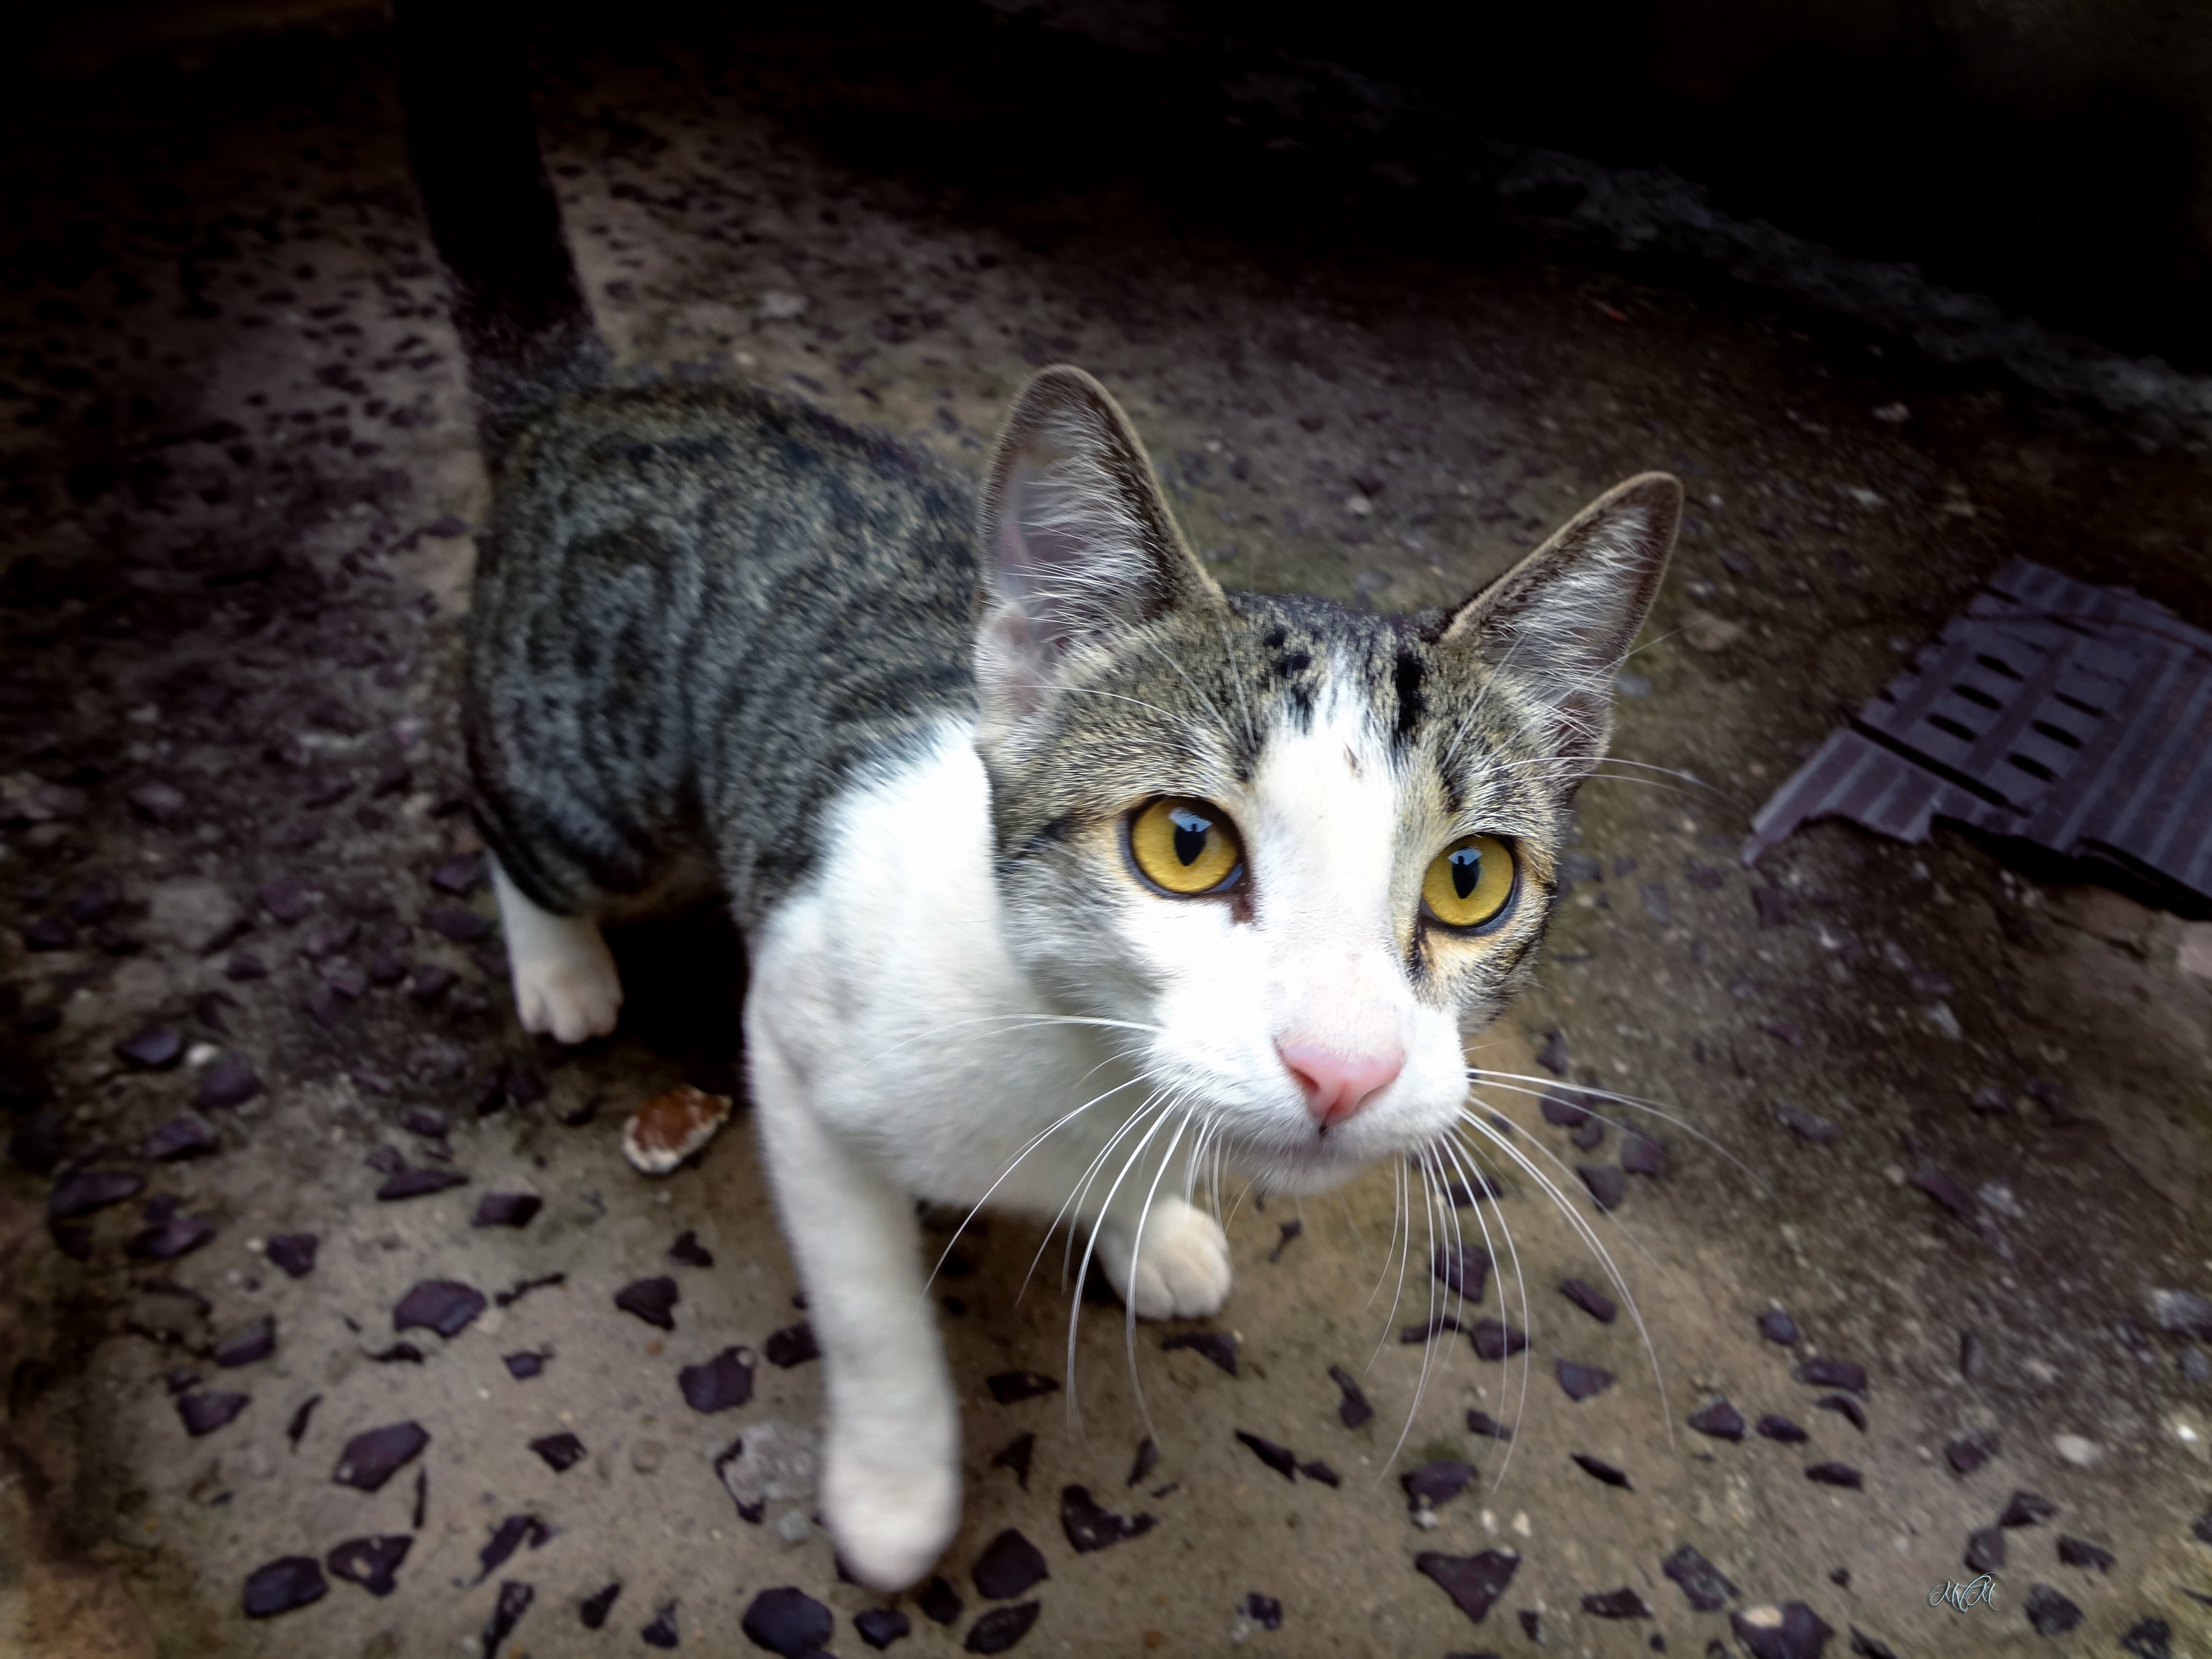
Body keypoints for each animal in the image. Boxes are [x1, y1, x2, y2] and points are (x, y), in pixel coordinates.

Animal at [462, 367, 1672, 1601]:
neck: (1078, 1050)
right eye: (1184, 843)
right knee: (521, 822)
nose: (1345, 1067)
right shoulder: (800, 1039)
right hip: (589, 776)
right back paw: (562, 966)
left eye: (1472, 878)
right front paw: (894, 1489)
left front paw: (1153, 1226)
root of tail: (600, 394)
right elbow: (867, 1307)